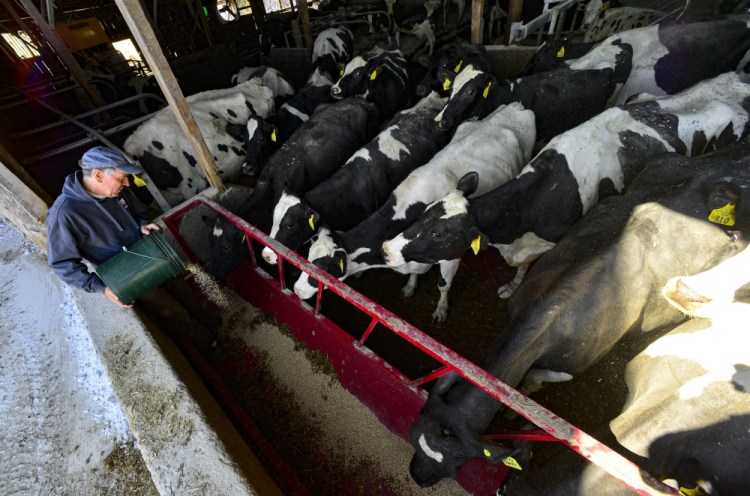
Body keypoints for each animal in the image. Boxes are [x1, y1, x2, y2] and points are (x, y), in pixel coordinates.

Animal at [292, 101, 536, 322]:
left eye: (324, 267)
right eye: (308, 256)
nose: (296, 290)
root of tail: (516, 106)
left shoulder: (452, 254)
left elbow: (444, 284)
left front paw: (441, 310)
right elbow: (413, 273)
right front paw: (410, 286)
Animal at [408, 145, 750, 486]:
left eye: (457, 459)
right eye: (418, 425)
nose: (417, 476)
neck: (552, 314)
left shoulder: (577, 362)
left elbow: (537, 377)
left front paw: (521, 398)